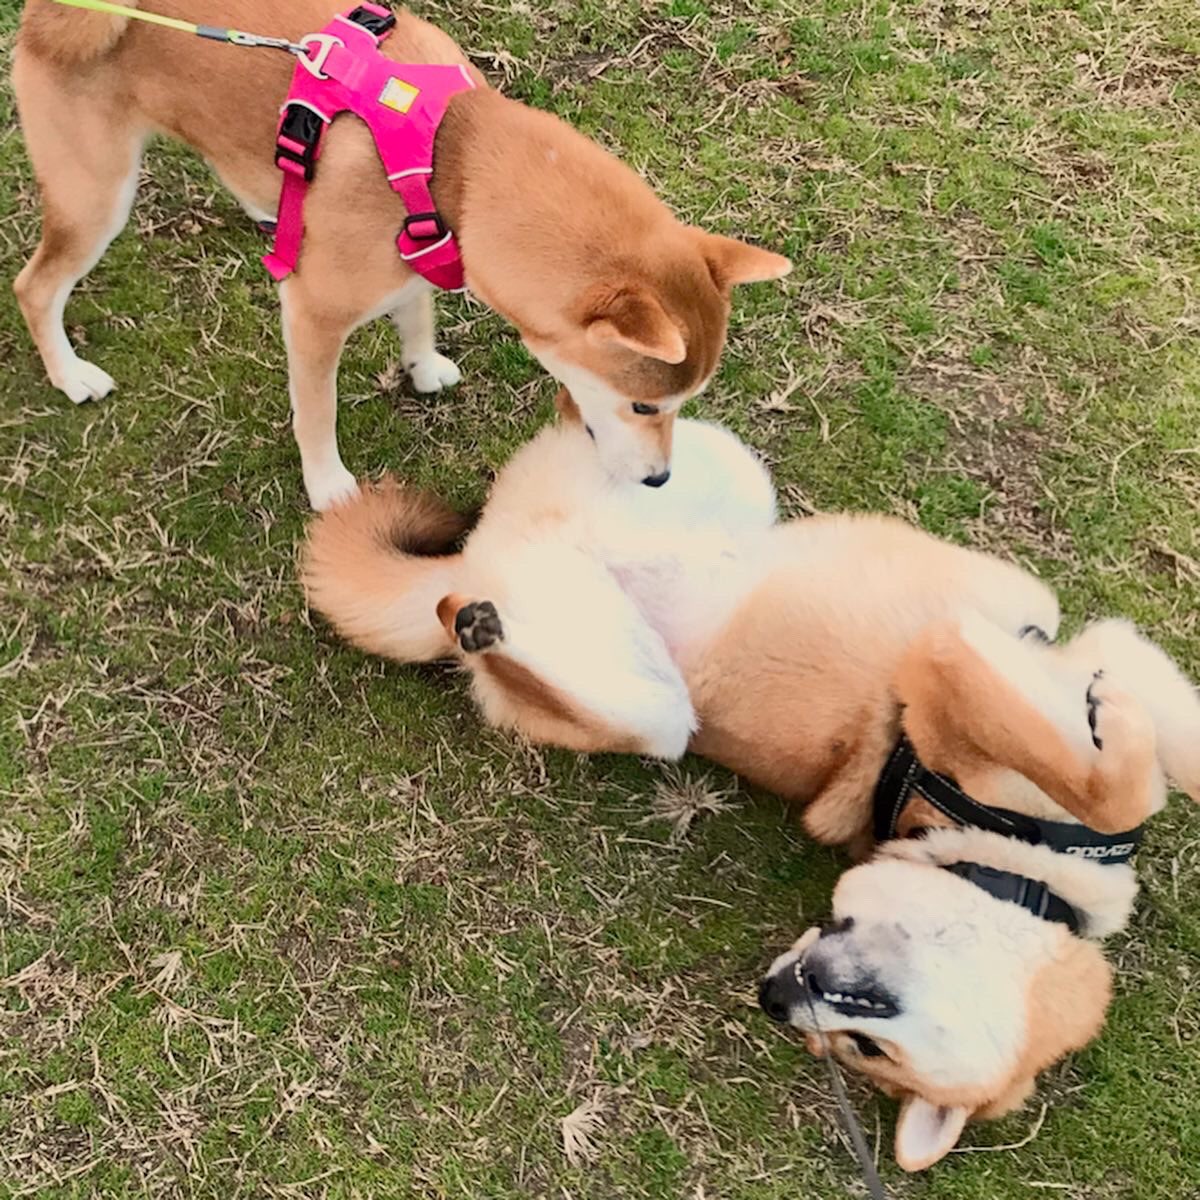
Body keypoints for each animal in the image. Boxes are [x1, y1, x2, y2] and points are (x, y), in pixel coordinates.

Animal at [11, 0, 790, 510]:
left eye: (685, 403)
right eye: (643, 404)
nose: (660, 481)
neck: (453, 154)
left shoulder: (419, 251)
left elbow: (416, 313)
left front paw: (422, 367)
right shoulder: (313, 314)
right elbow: (316, 409)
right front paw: (326, 483)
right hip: (96, 198)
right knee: (34, 287)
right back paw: (70, 374)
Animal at [301, 402, 1200, 1170]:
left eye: (859, 1050)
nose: (775, 996)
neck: (1021, 861)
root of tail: (486, 556)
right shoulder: (957, 679)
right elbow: (1117, 778)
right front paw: (1105, 734)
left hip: (665, 692)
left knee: (539, 652)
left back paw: (487, 626)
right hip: (705, 489)